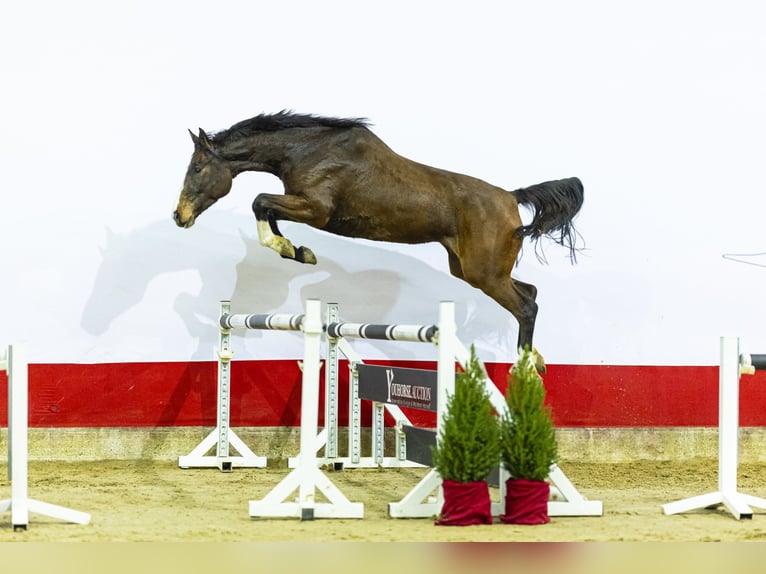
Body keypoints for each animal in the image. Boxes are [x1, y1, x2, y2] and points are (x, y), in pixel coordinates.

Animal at [173, 111, 583, 368]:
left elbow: (260, 201)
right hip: (470, 269)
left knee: (525, 306)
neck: (306, 151)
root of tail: (512, 197)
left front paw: (291, 249)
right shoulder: (301, 206)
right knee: (529, 292)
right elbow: (267, 211)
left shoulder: (316, 210)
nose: (180, 216)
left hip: (484, 273)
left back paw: (525, 365)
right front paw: (298, 252)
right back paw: (538, 361)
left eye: (198, 168)